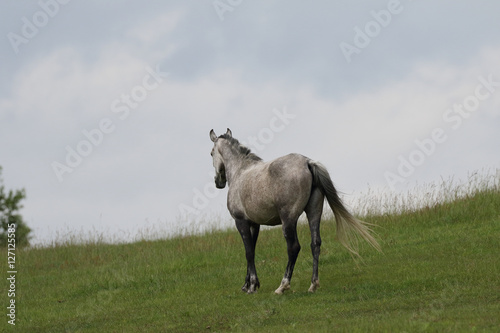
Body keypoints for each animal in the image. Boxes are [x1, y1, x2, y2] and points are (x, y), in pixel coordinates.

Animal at [210, 127, 378, 294]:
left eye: (211, 153)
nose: (218, 182)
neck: (240, 171)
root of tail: (307, 162)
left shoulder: (241, 222)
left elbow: (249, 252)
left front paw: (251, 286)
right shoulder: (254, 224)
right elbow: (252, 250)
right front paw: (248, 285)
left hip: (288, 220)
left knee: (293, 247)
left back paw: (283, 286)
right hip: (314, 212)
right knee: (315, 243)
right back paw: (313, 285)